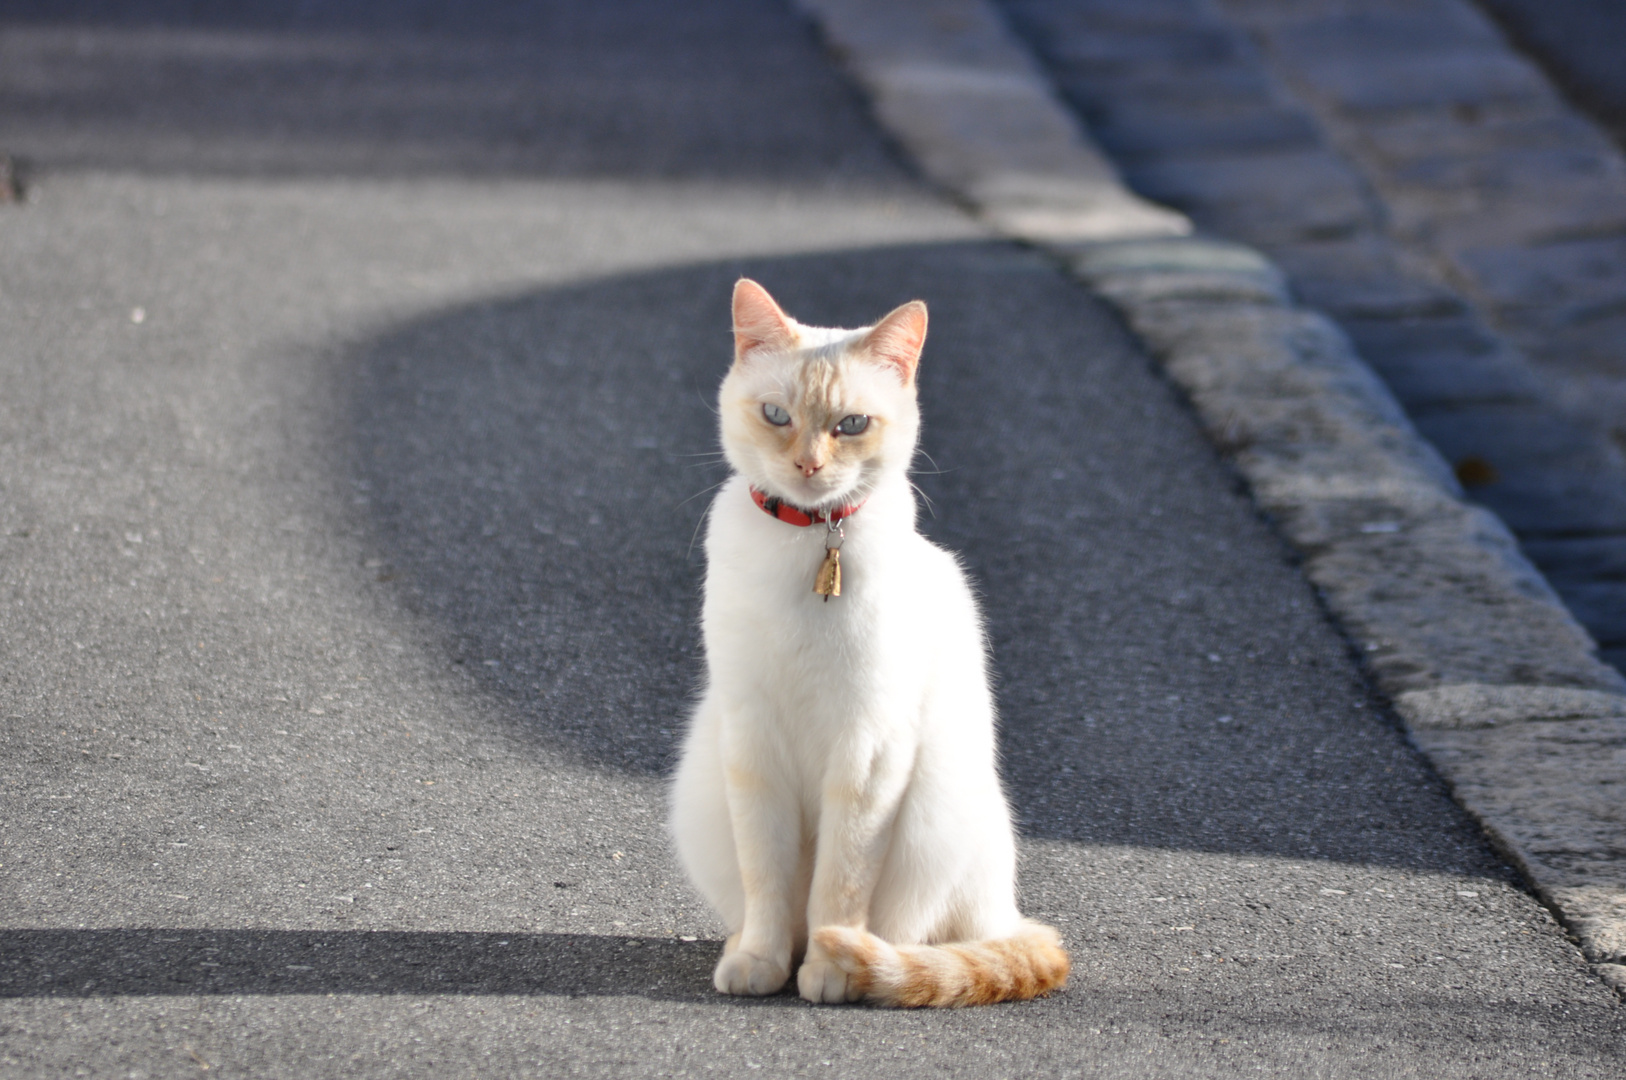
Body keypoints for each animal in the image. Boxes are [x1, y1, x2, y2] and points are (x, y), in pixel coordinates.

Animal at [666, 283, 1073, 1008]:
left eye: (851, 424)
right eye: (776, 415)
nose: (808, 465)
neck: (809, 541)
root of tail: (1007, 910)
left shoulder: (869, 747)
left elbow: (840, 885)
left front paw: (829, 969)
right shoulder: (752, 739)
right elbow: (767, 875)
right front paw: (762, 962)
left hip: (938, 801)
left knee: (922, 941)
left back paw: (861, 966)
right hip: (703, 779)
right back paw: (747, 949)